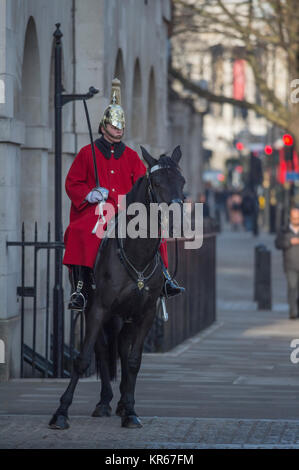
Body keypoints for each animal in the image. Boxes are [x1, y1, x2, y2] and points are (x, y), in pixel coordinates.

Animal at [49, 145, 185, 428]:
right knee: (102, 349)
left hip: (125, 315)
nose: (177, 218)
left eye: (182, 181)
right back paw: (104, 402)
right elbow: (83, 359)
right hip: (99, 310)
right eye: (156, 182)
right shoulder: (98, 309)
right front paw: (61, 411)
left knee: (121, 348)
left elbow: (133, 361)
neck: (136, 253)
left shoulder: (145, 313)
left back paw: (122, 403)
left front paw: (131, 410)